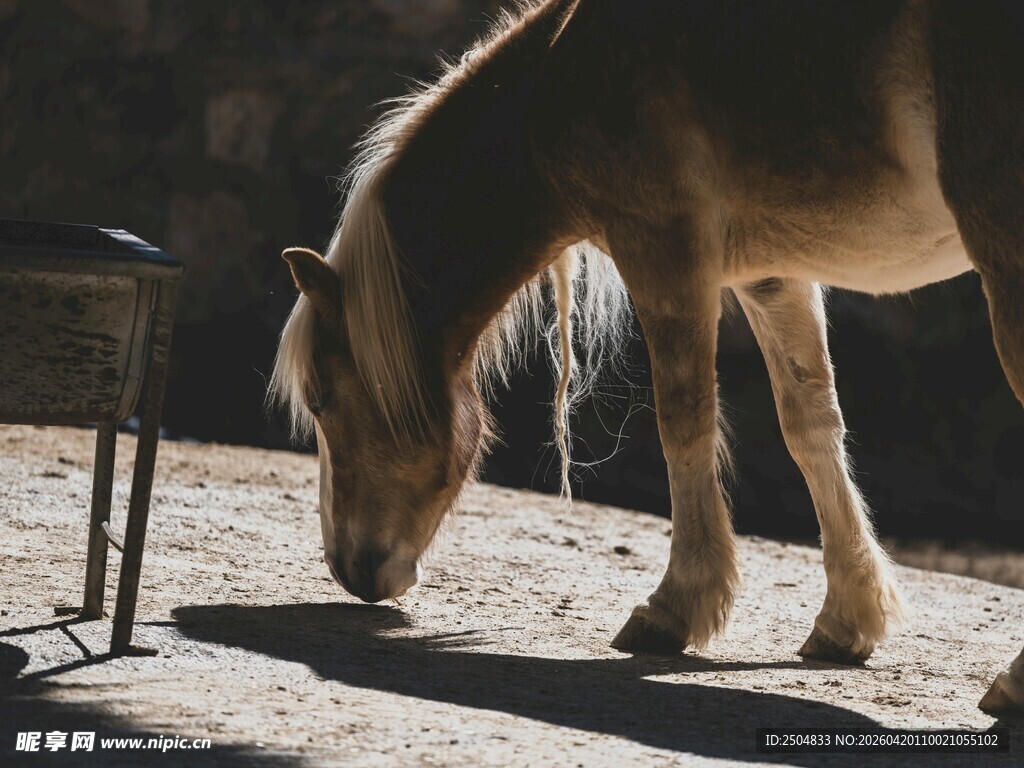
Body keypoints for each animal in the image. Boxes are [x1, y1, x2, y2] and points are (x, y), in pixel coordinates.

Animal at [271, 0, 1024, 714]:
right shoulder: (771, 272)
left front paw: (676, 608)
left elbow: (683, 422)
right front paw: (849, 619)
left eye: (325, 398)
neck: (557, 71)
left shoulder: (664, 248)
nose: (350, 569)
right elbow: (810, 427)